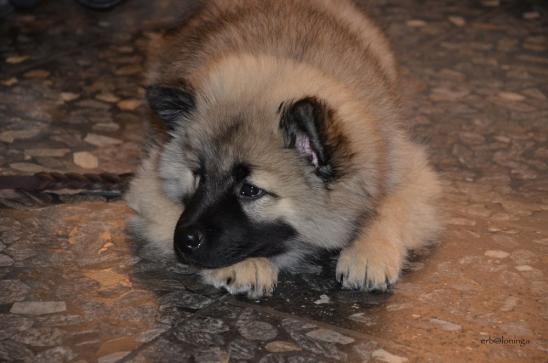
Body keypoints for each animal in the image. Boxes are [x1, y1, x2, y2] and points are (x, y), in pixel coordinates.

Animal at [125, 0, 440, 298]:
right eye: (198, 176)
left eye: (250, 190)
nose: (185, 240)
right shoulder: (149, 187)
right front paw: (244, 265)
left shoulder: (408, 170)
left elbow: (389, 208)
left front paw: (368, 253)